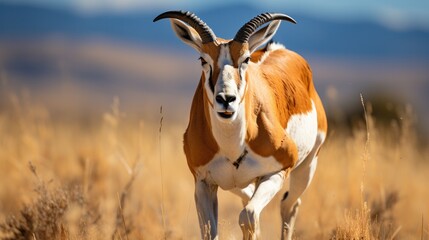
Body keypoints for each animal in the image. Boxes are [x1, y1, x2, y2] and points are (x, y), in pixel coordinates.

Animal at [155, 10, 328, 240]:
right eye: (203, 59)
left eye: (245, 59)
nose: (226, 99)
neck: (232, 147)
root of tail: (278, 48)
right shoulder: (203, 183)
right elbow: (211, 230)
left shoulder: (279, 171)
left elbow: (248, 216)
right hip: (240, 184)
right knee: (251, 198)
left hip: (307, 166)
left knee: (288, 205)